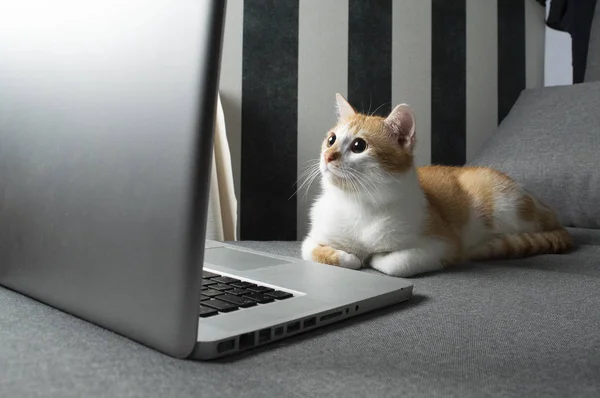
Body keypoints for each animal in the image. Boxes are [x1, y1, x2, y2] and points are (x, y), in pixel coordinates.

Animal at [302, 95, 576, 278]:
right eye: (331, 140)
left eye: (359, 146)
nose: (328, 156)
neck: (358, 203)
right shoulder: (312, 239)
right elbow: (318, 252)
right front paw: (349, 256)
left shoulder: (443, 245)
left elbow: (393, 264)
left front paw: (374, 257)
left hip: (506, 205)